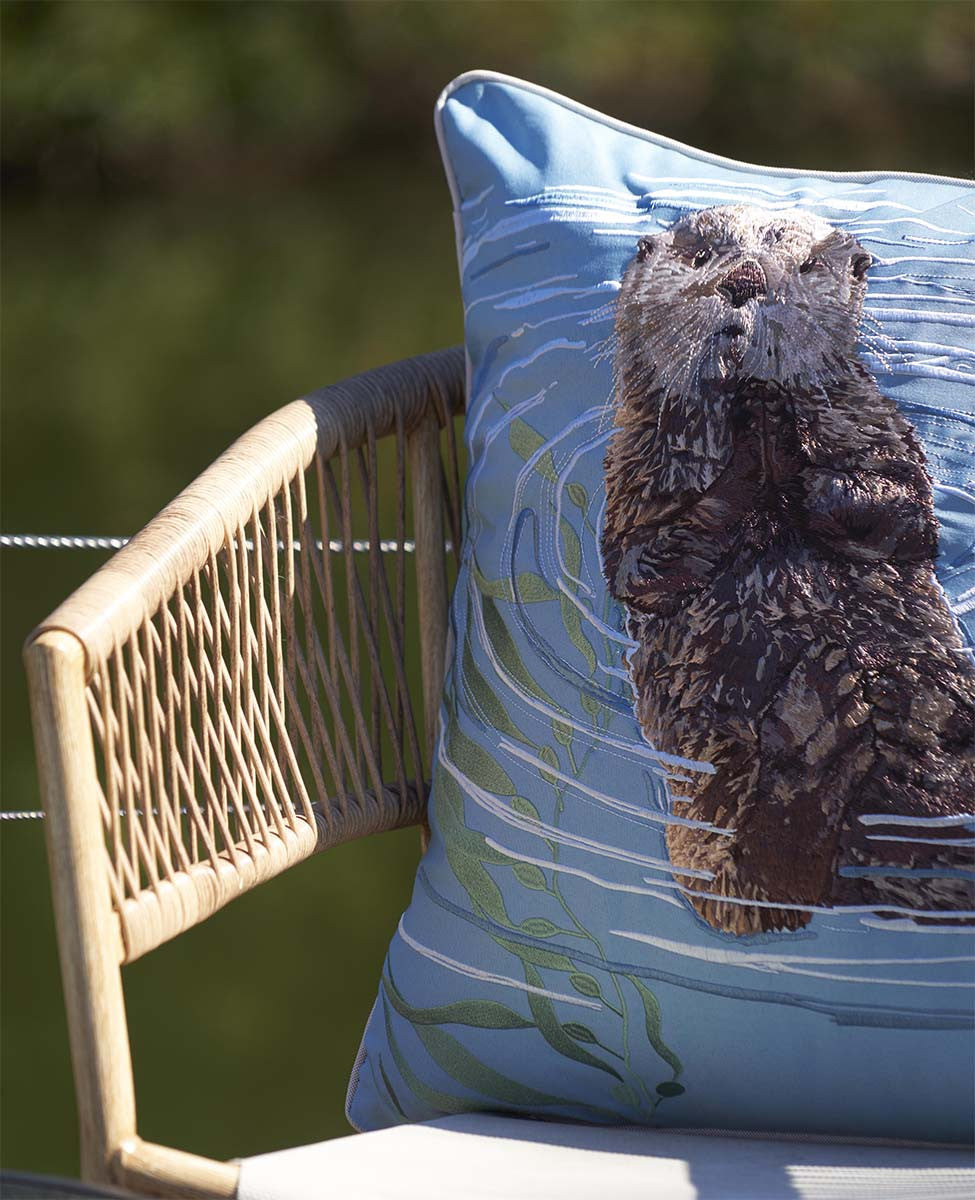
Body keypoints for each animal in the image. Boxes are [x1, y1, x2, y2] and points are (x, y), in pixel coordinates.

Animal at [600, 204, 975, 936]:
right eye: (699, 258)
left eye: (804, 265)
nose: (745, 281)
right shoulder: (631, 474)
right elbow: (643, 566)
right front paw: (753, 439)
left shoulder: (879, 428)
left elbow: (900, 515)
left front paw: (790, 442)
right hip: (712, 799)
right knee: (751, 895)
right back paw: (814, 726)